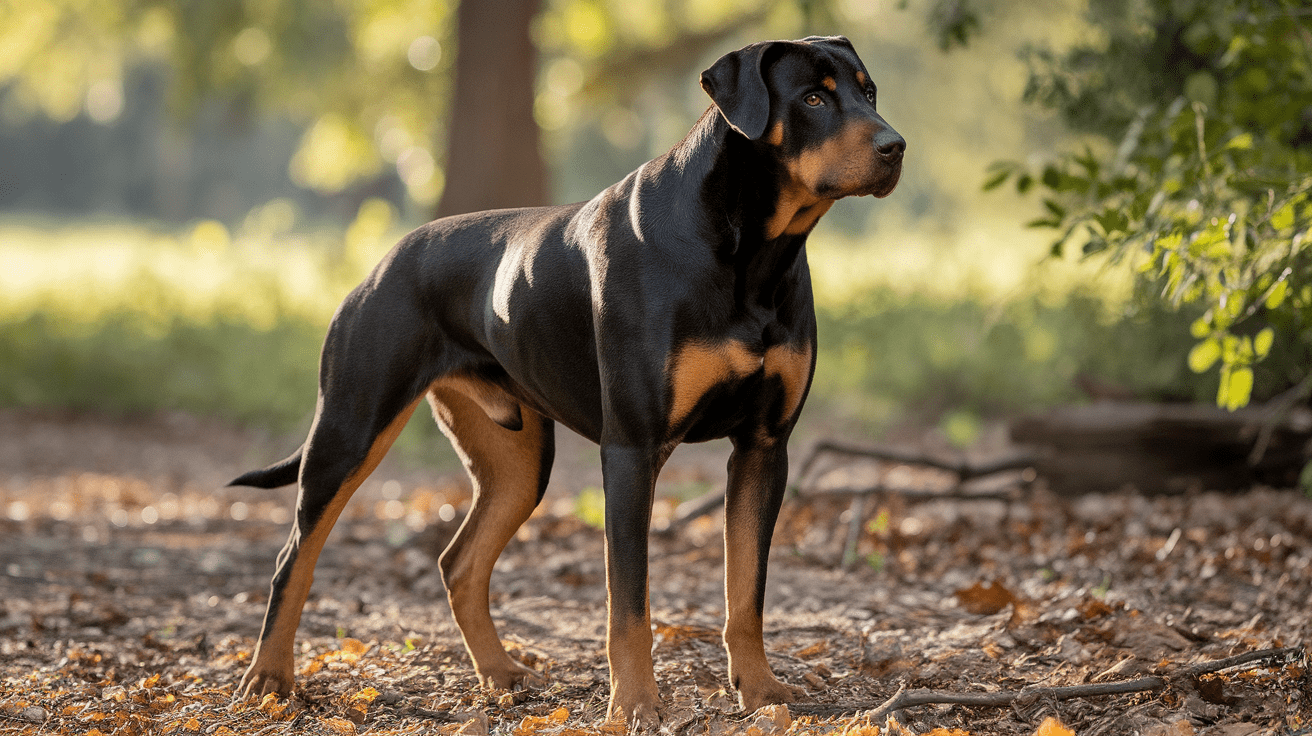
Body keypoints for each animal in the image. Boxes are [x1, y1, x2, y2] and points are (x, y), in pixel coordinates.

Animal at [228, 32, 902, 724]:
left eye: (869, 92)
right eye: (814, 98)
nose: (894, 146)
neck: (754, 254)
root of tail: (380, 264)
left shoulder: (764, 448)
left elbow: (746, 591)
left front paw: (762, 690)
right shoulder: (632, 449)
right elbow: (628, 604)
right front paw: (635, 707)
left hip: (518, 465)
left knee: (459, 563)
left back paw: (500, 675)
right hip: (350, 429)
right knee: (293, 557)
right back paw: (268, 677)